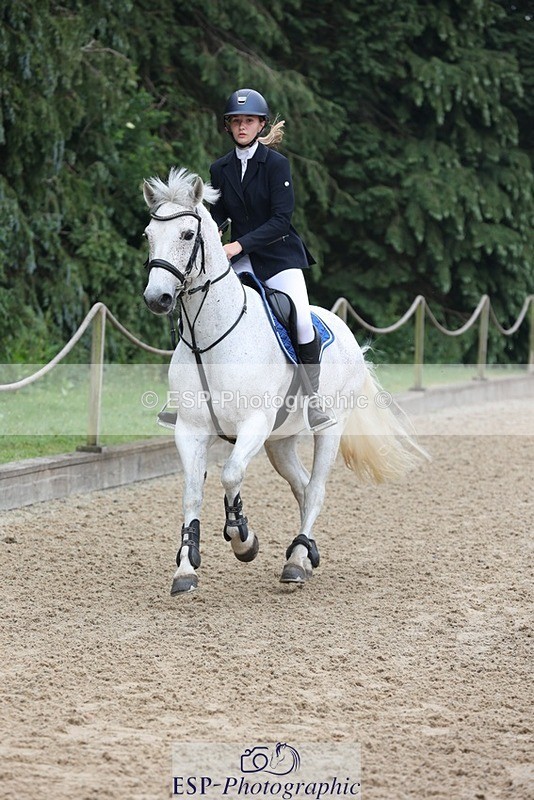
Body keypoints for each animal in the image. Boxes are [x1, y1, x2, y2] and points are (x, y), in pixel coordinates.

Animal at [142, 167, 424, 594]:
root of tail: (346, 332)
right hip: (280, 441)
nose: (156, 298)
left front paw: (243, 539)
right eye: (148, 235)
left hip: (328, 428)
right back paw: (303, 554)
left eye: (188, 235)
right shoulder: (190, 430)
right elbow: (193, 492)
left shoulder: (253, 424)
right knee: (302, 486)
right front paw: (186, 568)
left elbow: (230, 474)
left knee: (316, 490)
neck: (210, 338)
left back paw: (296, 560)